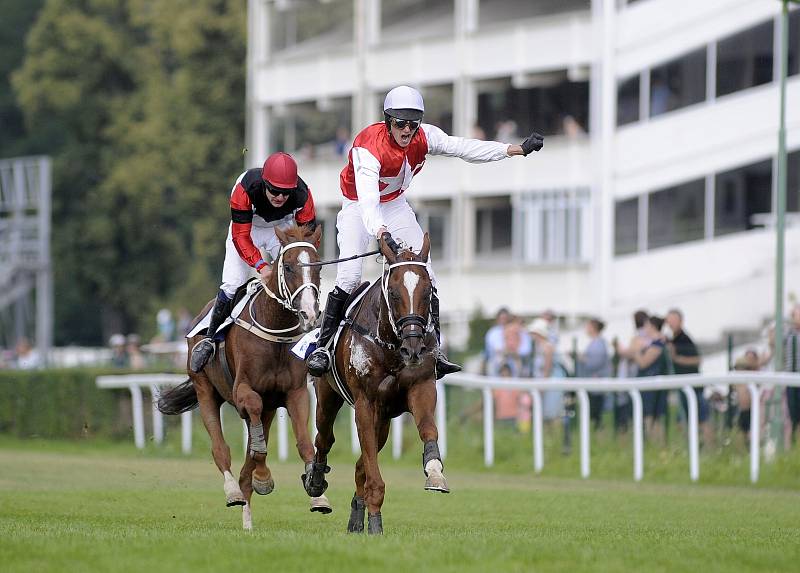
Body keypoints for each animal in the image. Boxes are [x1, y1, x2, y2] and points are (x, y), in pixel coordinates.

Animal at [159, 222, 328, 528]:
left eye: (318, 266)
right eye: (288, 267)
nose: (310, 313)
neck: (275, 330)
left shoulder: (295, 392)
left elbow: (302, 443)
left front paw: (316, 491)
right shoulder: (243, 393)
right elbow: (254, 436)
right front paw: (264, 477)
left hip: (269, 408)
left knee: (247, 462)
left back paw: (248, 514)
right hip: (205, 390)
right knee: (220, 449)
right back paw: (233, 492)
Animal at [302, 231, 446, 532]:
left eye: (428, 292)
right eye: (393, 292)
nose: (413, 349)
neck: (390, 346)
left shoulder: (421, 387)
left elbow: (428, 429)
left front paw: (435, 472)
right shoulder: (365, 404)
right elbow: (369, 463)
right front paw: (376, 521)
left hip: (384, 417)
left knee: (361, 463)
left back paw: (357, 513)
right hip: (328, 396)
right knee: (325, 438)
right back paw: (316, 481)